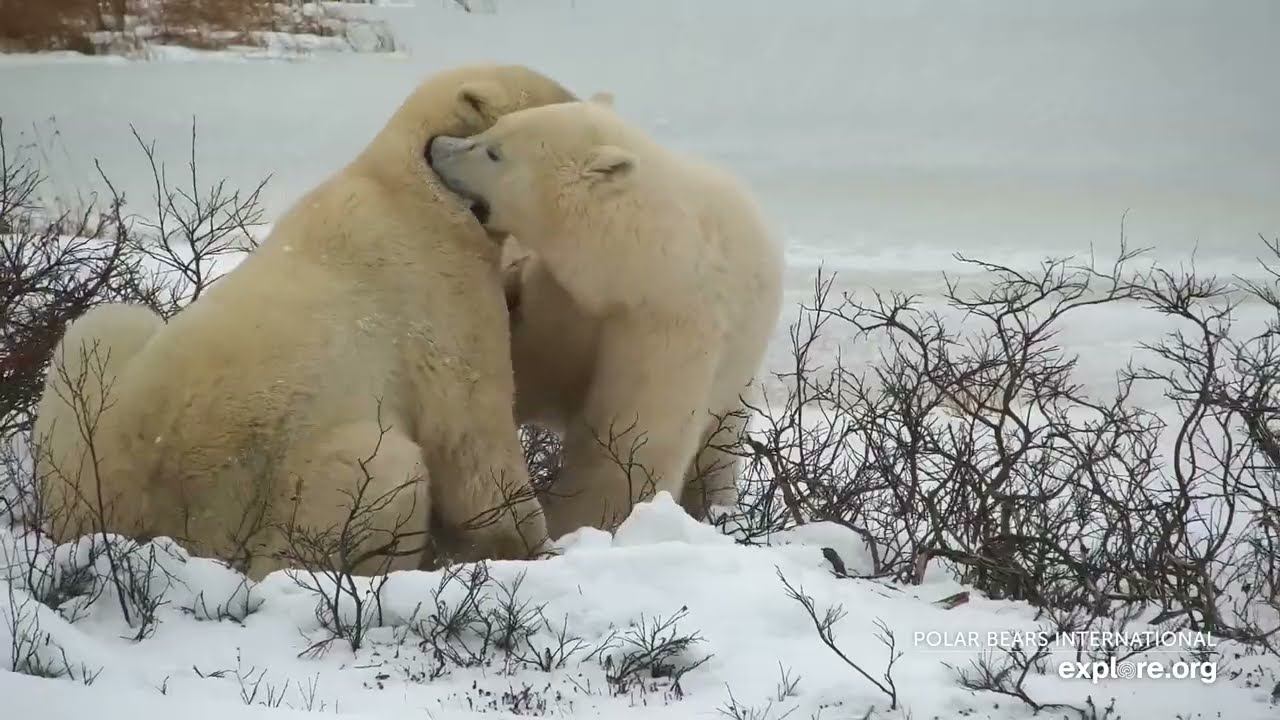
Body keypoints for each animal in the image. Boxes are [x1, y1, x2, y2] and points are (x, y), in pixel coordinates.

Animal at [31, 64, 578, 579]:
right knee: (382, 477)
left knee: (106, 322)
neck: (414, 191)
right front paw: (537, 547)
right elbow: (473, 447)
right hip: (285, 497)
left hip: (81, 414)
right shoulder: (442, 295)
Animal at [428, 96, 785, 538]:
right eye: (491, 128)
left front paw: (581, 524)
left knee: (719, 448)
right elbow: (529, 362)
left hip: (737, 380)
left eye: (494, 152)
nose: (436, 145)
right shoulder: (563, 298)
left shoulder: (666, 327)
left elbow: (628, 442)